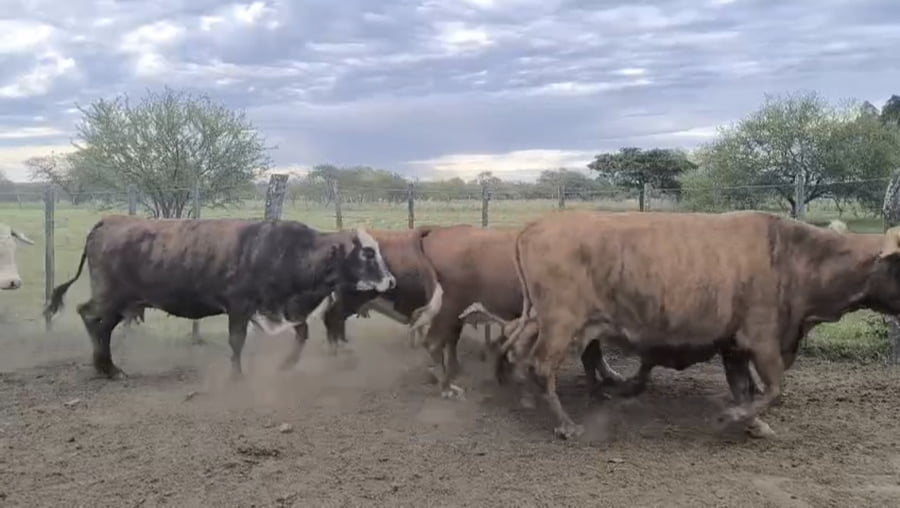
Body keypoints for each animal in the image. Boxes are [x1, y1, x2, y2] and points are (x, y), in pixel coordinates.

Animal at [42, 215, 397, 379]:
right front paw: (237, 376)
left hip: (122, 302)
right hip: (111, 297)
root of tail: (110, 220)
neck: (283, 250)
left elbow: (302, 333)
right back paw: (106, 367)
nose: (391, 280)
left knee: (100, 325)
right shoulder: (239, 306)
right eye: (367, 253)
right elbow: (236, 341)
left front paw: (286, 364)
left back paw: (107, 367)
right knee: (90, 316)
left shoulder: (282, 306)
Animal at [483, 210, 900, 440]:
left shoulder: (733, 344)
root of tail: (535, 226)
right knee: (541, 364)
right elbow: (774, 389)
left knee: (518, 351)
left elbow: (745, 388)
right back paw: (566, 424)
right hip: (561, 321)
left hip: (543, 318)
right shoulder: (761, 338)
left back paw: (524, 394)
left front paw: (753, 424)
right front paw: (730, 418)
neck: (794, 255)